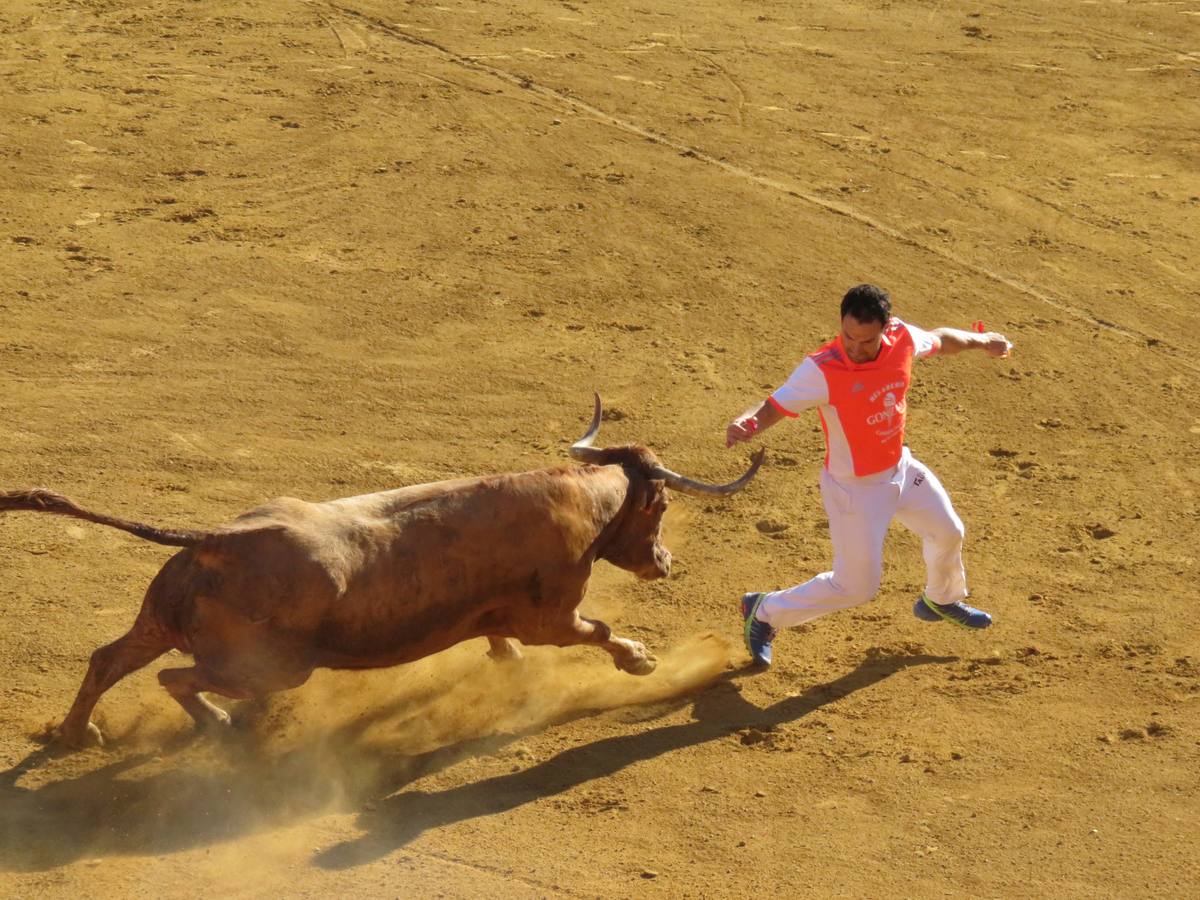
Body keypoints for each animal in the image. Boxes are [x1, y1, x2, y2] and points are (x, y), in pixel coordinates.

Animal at [2, 398, 758, 748]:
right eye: (660, 505)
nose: (665, 562)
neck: (580, 500)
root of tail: (225, 539)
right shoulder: (553, 616)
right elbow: (597, 631)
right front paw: (641, 661)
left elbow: (497, 637)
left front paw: (505, 661)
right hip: (275, 667)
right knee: (174, 679)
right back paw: (217, 722)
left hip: (160, 617)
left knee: (110, 660)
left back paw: (75, 735)